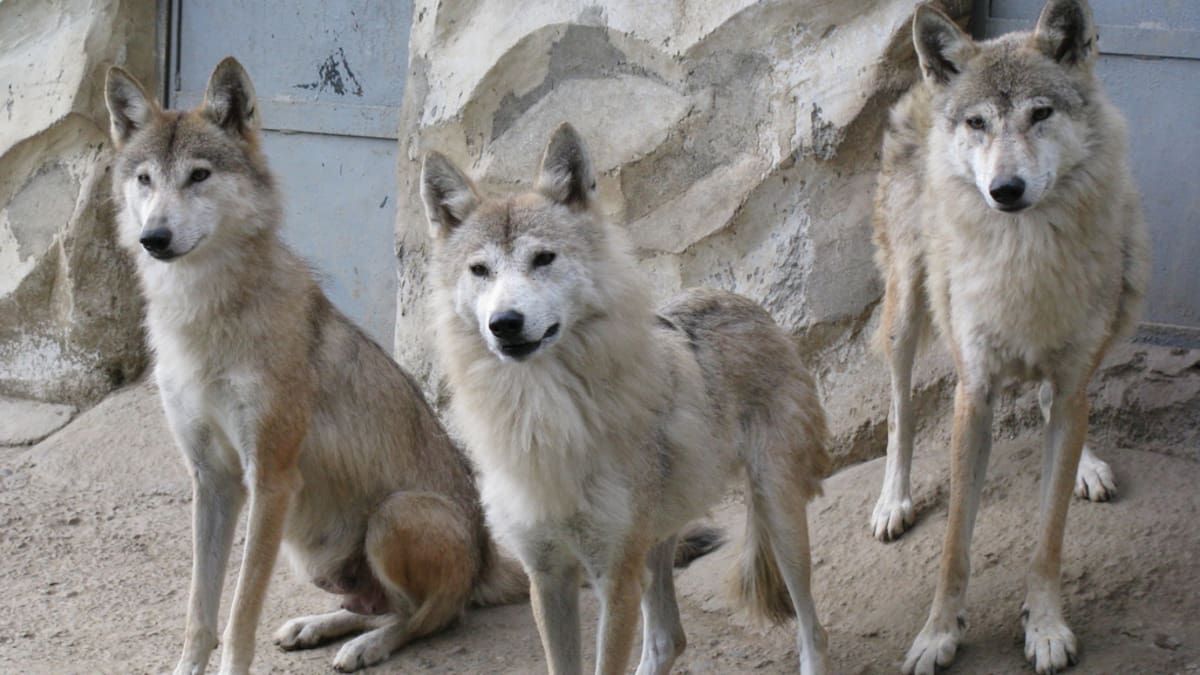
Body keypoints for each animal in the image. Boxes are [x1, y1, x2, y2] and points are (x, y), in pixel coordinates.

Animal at [104, 58, 531, 674]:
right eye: (145, 180)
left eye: (199, 175)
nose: (153, 238)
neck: (201, 316)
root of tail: (486, 558)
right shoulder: (211, 481)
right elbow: (199, 612)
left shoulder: (270, 480)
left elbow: (239, 613)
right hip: (314, 557)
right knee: (375, 606)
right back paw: (315, 626)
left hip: (393, 516)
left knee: (431, 617)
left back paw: (365, 647)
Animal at [421, 123, 833, 675]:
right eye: (480, 270)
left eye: (543, 258)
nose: (504, 323)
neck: (541, 414)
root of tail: (743, 302)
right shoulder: (547, 578)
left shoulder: (613, 576)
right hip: (657, 542)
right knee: (667, 639)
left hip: (777, 514)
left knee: (811, 627)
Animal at [870, 1, 1150, 673]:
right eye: (978, 123)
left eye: (1040, 114)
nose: (1006, 191)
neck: (1023, 259)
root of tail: (927, 82)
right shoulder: (973, 393)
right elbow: (954, 543)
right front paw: (937, 634)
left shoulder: (1073, 378)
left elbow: (1049, 533)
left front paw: (1045, 626)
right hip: (905, 312)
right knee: (898, 411)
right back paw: (893, 502)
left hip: (1125, 291)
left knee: (1057, 404)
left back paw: (1087, 466)